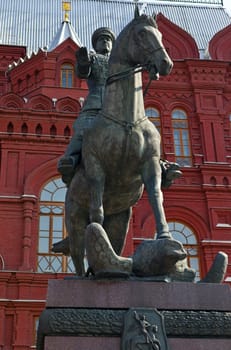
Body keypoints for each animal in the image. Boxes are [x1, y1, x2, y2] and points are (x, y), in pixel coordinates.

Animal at [65, 9, 173, 274]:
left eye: (160, 35)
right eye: (142, 33)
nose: (166, 63)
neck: (127, 120)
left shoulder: (150, 164)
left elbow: (156, 197)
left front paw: (166, 237)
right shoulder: (96, 168)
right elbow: (97, 214)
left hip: (121, 221)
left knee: (114, 240)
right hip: (73, 221)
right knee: (77, 255)